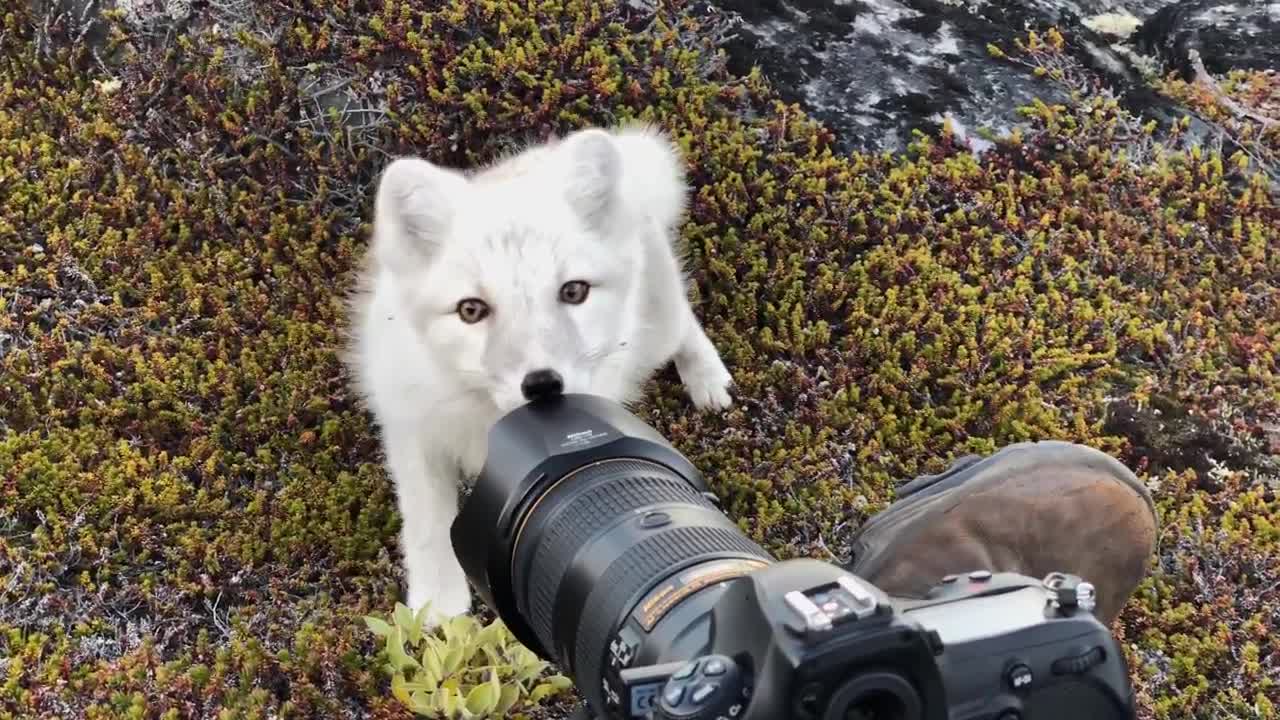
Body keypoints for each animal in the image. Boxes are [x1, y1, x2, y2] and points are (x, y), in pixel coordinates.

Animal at [340, 122, 737, 622]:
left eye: (574, 291)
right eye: (471, 310)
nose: (544, 385)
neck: (489, 417)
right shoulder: (412, 426)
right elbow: (428, 517)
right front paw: (439, 604)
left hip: (658, 327)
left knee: (684, 319)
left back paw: (706, 377)